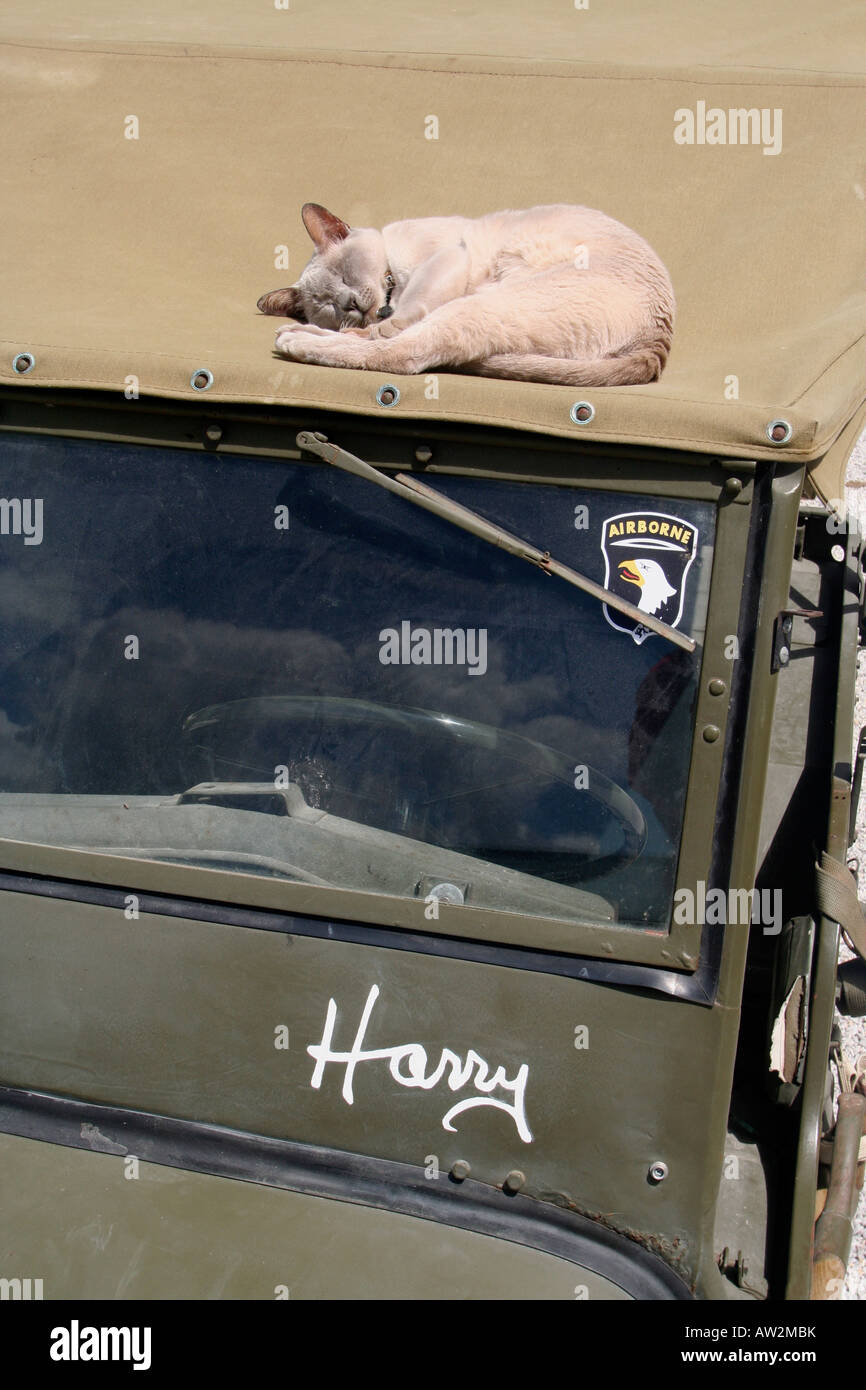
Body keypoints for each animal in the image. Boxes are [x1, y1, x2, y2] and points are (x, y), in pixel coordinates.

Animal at [258, 202, 678, 386]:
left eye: (345, 275)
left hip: (479, 303)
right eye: (327, 304)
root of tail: (659, 340)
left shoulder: (446, 259)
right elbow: (380, 329)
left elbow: (399, 320)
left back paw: (293, 340)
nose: (350, 305)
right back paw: (298, 334)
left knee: (398, 353)